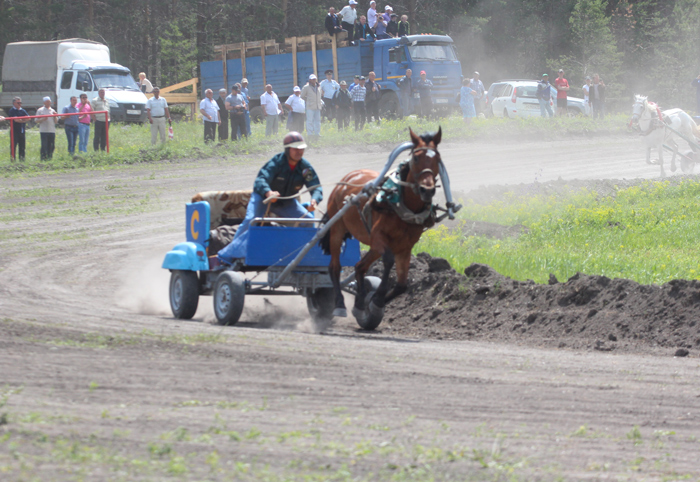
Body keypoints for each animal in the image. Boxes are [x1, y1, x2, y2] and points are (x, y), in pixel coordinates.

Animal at [318, 126, 440, 330]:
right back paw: (340, 304)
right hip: (337, 229)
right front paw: (375, 301)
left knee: (359, 267)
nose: (427, 190)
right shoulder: (378, 236)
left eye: (437, 158)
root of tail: (348, 177)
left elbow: (401, 285)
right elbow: (388, 260)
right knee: (334, 267)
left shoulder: (405, 247)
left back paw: (359, 302)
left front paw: (371, 303)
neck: (401, 206)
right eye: (416, 158)